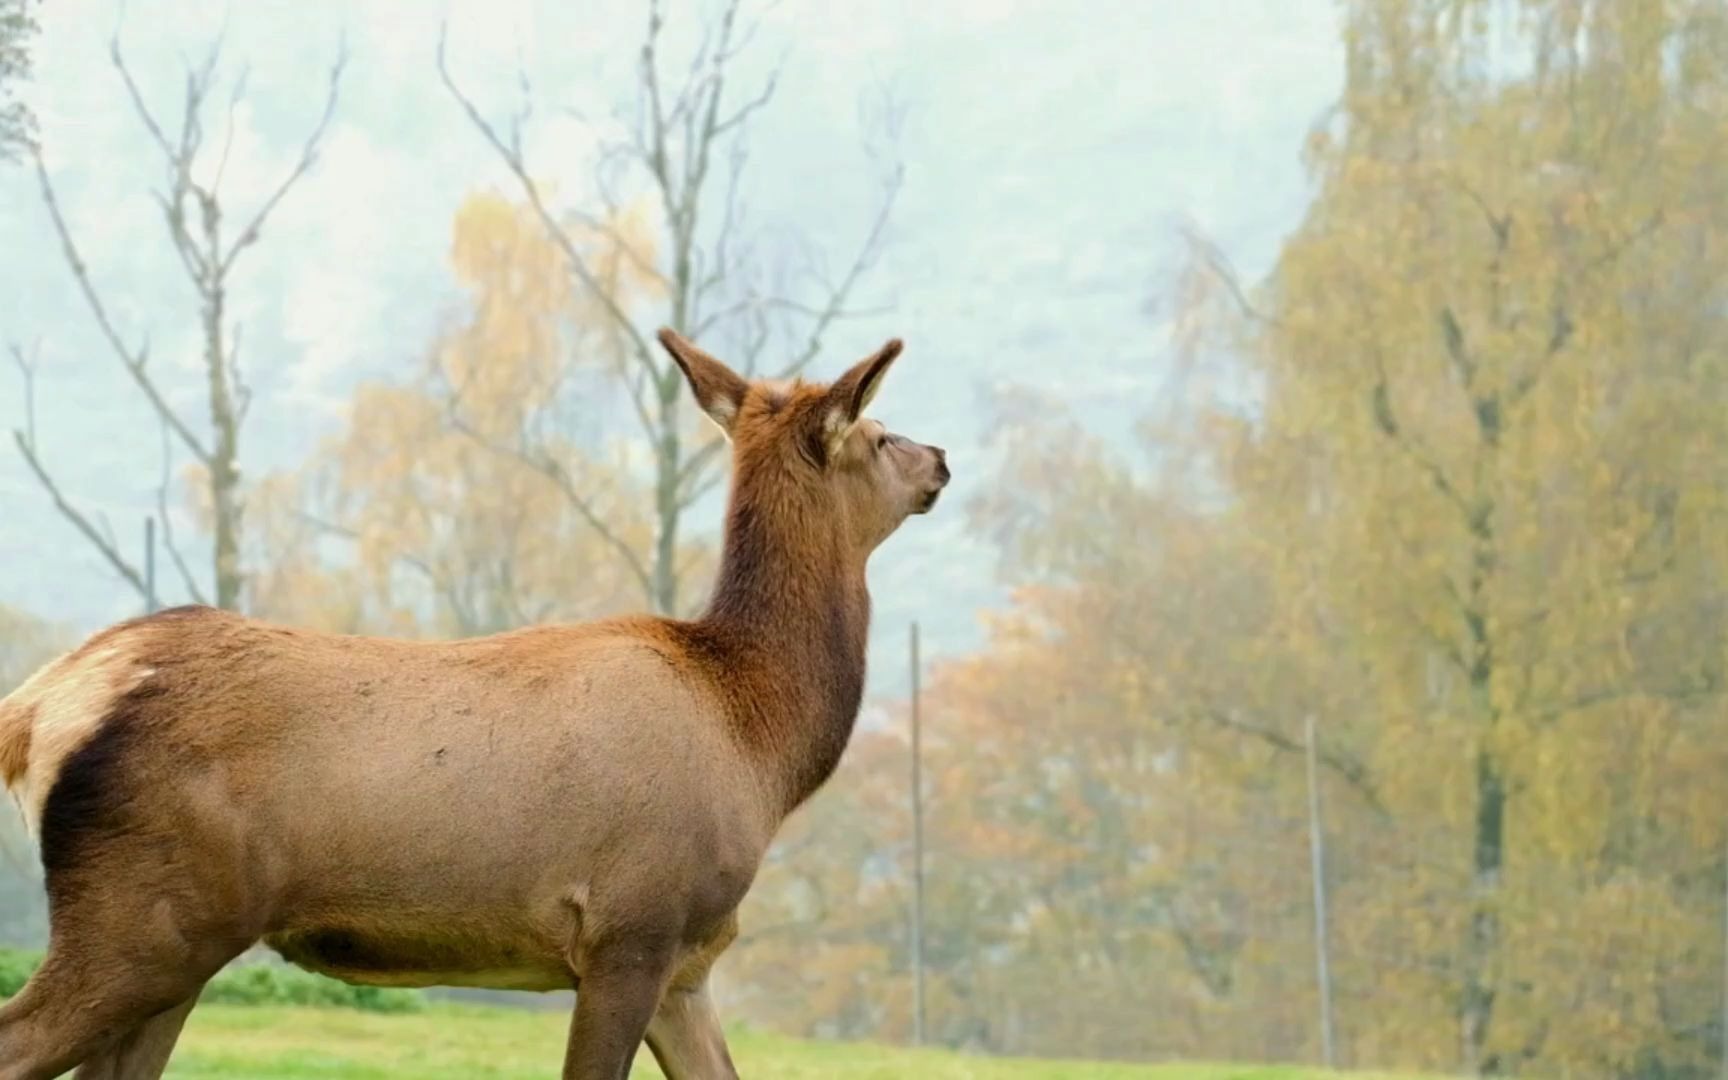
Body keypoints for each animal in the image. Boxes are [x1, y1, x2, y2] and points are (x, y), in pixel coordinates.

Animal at [0, 330, 946, 1078]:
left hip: (175, 939)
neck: (760, 740)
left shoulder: (691, 963)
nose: (939, 459)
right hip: (140, 919)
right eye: (880, 432)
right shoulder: (632, 926)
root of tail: (40, 705)